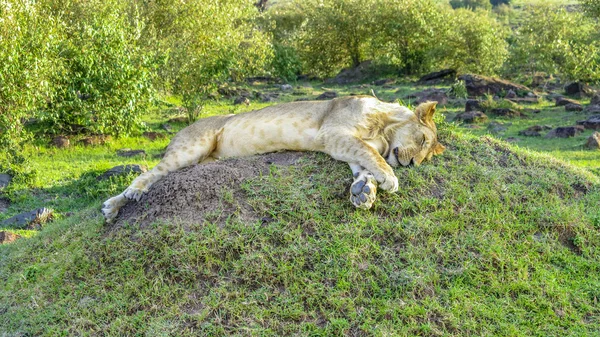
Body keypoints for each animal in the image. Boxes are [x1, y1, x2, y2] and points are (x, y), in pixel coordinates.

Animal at [102, 94, 446, 222]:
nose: (412, 164)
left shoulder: (342, 145)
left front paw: (365, 192)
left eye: (426, 157)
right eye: (422, 140)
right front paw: (390, 177)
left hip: (204, 160)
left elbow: (363, 166)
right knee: (152, 172)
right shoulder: (334, 133)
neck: (385, 128)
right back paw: (122, 199)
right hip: (193, 146)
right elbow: (372, 154)